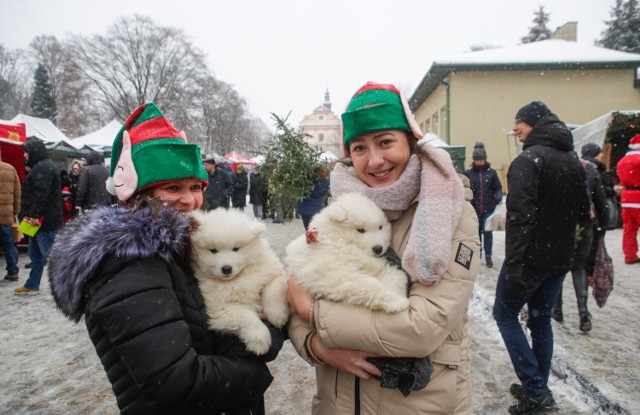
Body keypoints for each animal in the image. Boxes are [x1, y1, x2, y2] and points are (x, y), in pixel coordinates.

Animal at [190, 210, 290, 356]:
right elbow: (246, 316)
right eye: (213, 250)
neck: (238, 278)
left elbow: (272, 290)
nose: (226, 268)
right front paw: (259, 340)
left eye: (236, 248)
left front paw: (278, 316)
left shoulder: (274, 274)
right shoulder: (221, 309)